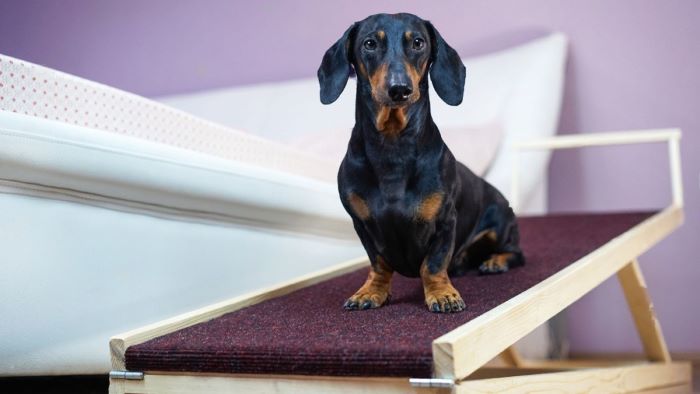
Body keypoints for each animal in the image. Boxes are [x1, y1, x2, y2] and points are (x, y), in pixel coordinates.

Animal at [320, 13, 524, 314]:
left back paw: (495, 261)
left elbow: (433, 264)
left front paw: (442, 294)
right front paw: (371, 291)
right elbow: (378, 264)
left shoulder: (445, 222)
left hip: (500, 225)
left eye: (418, 42)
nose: (399, 89)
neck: (393, 147)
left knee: (516, 253)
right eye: (369, 44)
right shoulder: (362, 225)